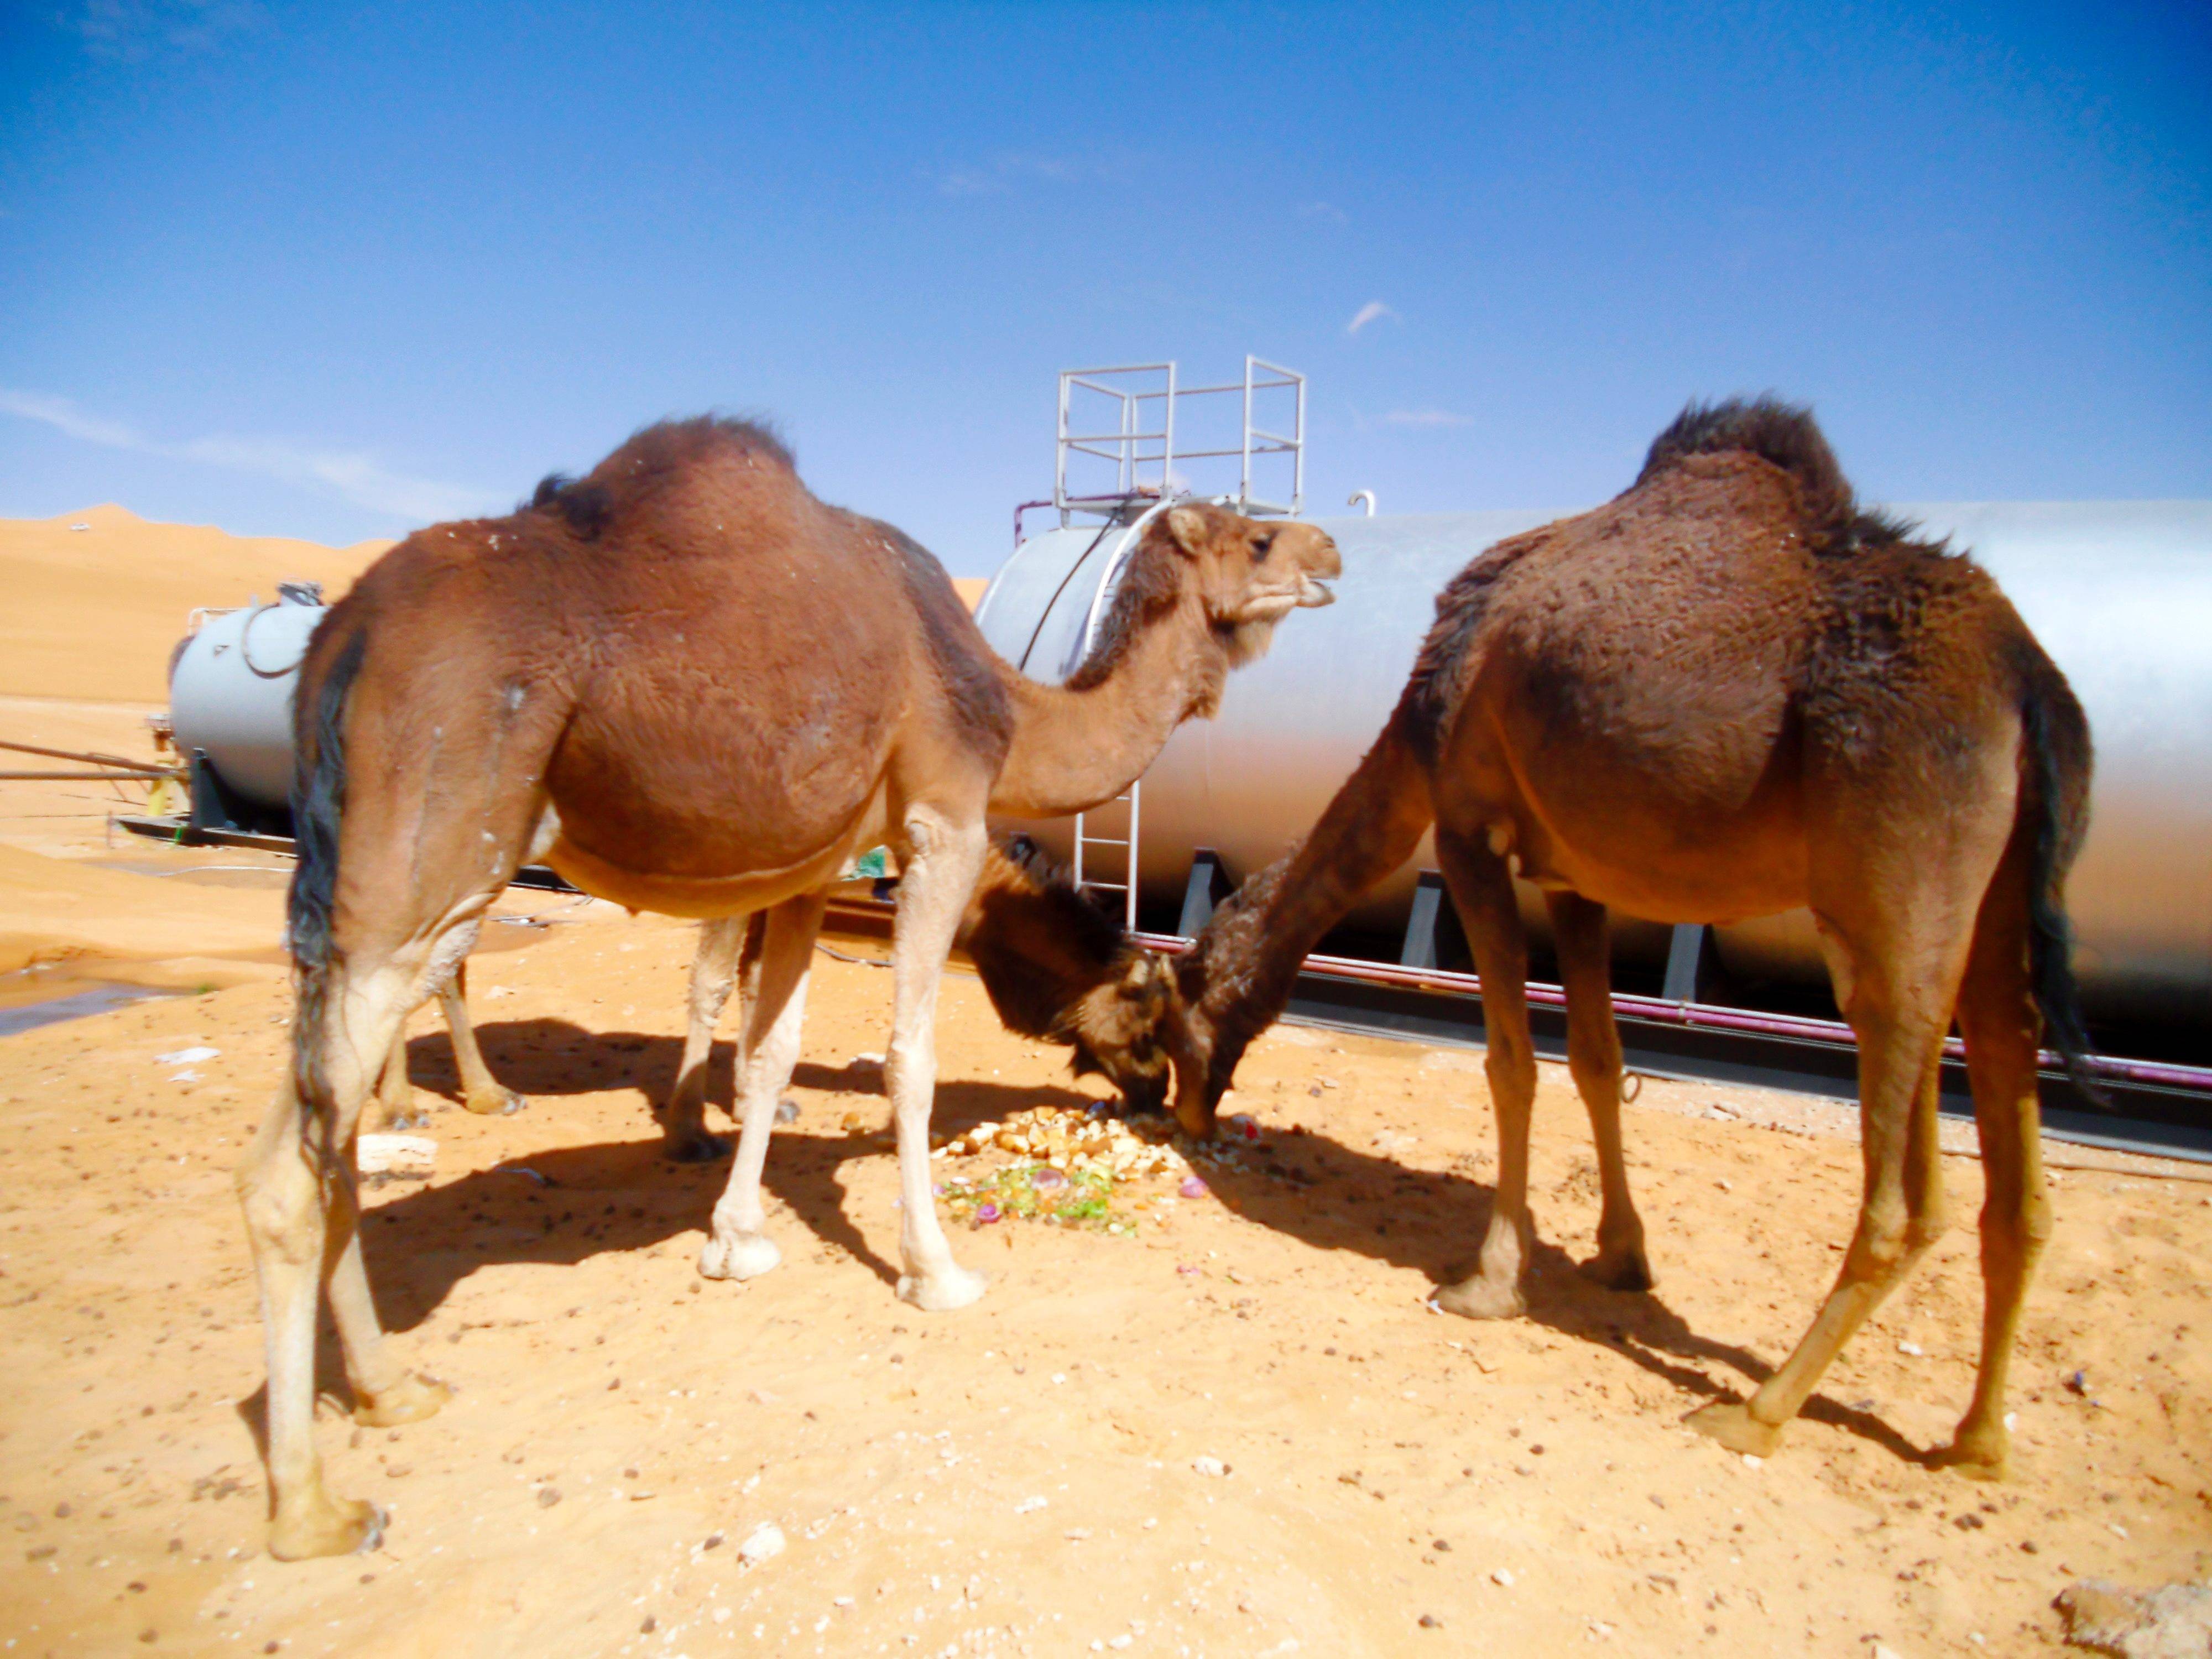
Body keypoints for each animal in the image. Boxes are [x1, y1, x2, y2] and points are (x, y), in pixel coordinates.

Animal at [249, 416, 1336, 1557]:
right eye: (1258, 538)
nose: (1335, 553)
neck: (1008, 704)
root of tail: (340, 636)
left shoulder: (810, 868)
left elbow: (771, 1054)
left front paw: (737, 1240)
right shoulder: (943, 816)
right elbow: (908, 1057)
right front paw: (936, 1272)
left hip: (383, 889)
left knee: (322, 1138)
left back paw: (391, 1389)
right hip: (434, 848)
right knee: (289, 1166)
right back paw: (312, 1507)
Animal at [1168, 400, 2097, 1478]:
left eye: (1190, 984)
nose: (1181, 1107)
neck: (1419, 719)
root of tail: (2031, 684)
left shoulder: (1470, 829)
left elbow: (1511, 1065)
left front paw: (1488, 1282)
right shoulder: (1575, 879)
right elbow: (1600, 1065)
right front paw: (1621, 1256)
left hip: (1897, 888)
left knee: (1905, 1183)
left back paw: (1759, 1410)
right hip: (1997, 911)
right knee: (2014, 1148)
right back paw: (1978, 1440)